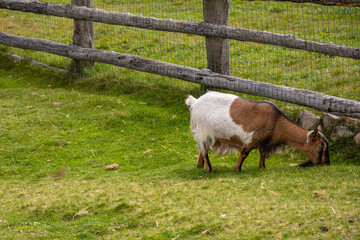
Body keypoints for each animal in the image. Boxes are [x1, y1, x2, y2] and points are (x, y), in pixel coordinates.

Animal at [186, 90, 330, 172]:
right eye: (320, 146)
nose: (326, 163)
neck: (276, 121)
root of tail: (194, 102)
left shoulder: (265, 142)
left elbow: (262, 154)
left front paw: (262, 168)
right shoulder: (252, 139)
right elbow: (245, 153)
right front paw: (237, 169)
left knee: (202, 149)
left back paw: (200, 166)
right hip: (203, 131)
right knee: (204, 150)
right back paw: (210, 169)